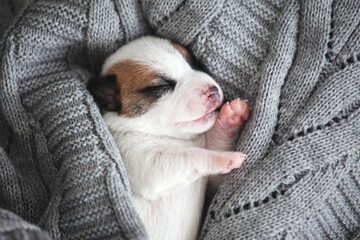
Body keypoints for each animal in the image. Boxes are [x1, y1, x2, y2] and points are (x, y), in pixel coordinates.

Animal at [87, 36, 250, 240]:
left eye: (193, 63)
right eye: (161, 86)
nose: (213, 91)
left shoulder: (210, 181)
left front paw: (231, 118)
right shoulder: (144, 161)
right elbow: (193, 155)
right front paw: (224, 158)